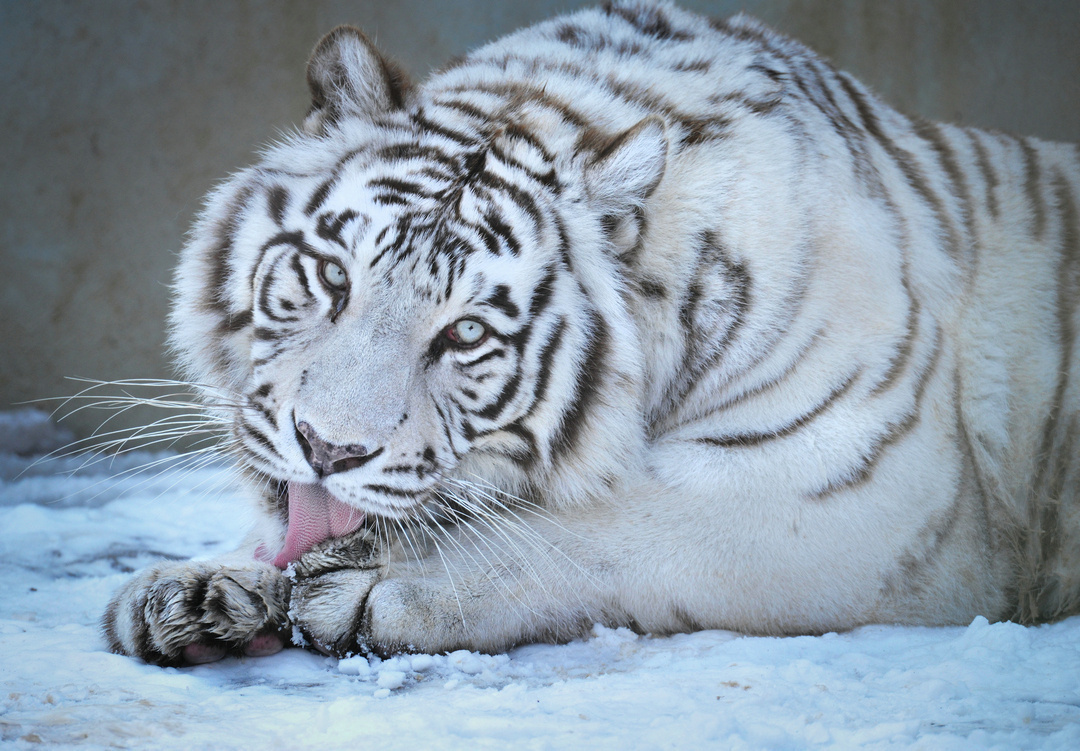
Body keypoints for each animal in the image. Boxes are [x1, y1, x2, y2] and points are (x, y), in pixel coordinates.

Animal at [103, 2, 1080, 665]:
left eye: (464, 333)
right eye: (336, 277)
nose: (326, 447)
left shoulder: (867, 487)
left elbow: (603, 524)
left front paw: (376, 583)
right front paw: (195, 587)